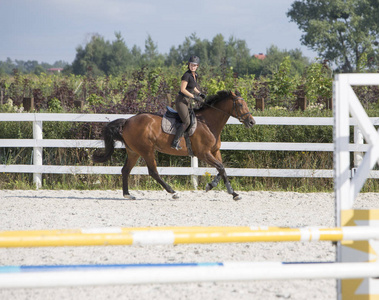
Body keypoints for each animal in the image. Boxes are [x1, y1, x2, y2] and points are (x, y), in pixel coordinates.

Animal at [93, 90, 256, 200]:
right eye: (240, 104)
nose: (252, 122)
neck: (208, 123)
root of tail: (127, 121)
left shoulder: (215, 151)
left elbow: (222, 169)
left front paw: (214, 187)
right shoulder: (204, 153)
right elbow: (221, 168)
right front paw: (232, 192)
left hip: (134, 152)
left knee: (125, 170)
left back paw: (127, 194)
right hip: (147, 151)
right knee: (153, 172)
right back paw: (173, 192)